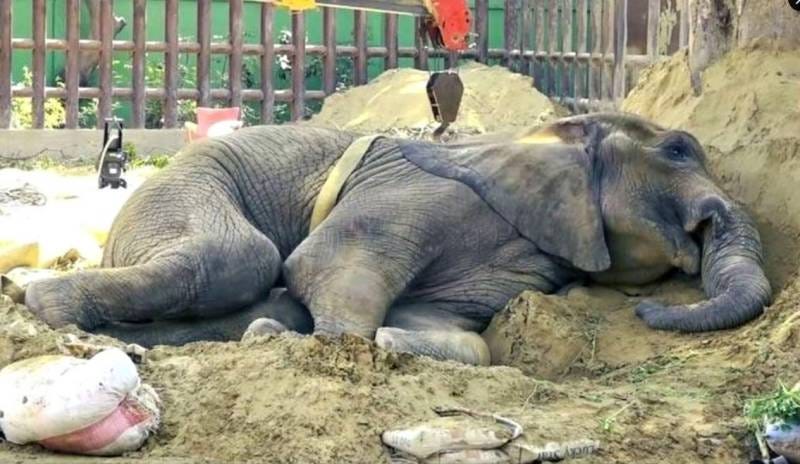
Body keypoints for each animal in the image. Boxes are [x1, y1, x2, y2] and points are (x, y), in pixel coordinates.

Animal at [23, 113, 772, 365]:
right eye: (678, 150)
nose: (649, 310)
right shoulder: (432, 194)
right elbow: (323, 263)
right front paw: (311, 347)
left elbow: (450, 328)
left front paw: (392, 342)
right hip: (175, 191)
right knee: (239, 259)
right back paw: (50, 313)